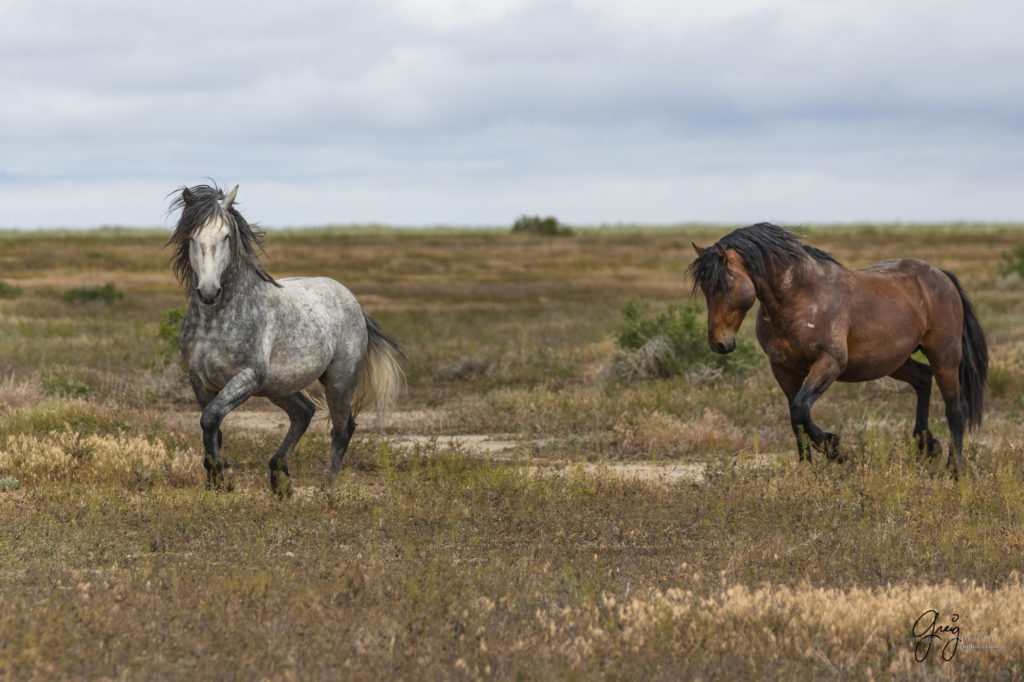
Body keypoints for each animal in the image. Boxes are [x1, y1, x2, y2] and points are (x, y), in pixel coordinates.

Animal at [165, 183, 401, 493]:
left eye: (226, 236)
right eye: (192, 236)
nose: (208, 292)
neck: (215, 321)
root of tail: (353, 301)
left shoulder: (248, 377)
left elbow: (211, 419)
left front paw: (222, 478)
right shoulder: (200, 381)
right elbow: (212, 428)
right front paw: (214, 483)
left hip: (339, 381)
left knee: (342, 428)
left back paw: (326, 489)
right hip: (280, 387)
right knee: (304, 412)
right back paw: (280, 478)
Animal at [688, 223, 983, 473]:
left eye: (725, 284)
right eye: (705, 289)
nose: (719, 343)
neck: (801, 298)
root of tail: (941, 276)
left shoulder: (829, 364)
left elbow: (800, 409)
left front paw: (834, 450)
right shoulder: (783, 369)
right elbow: (795, 416)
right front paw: (806, 466)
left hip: (944, 356)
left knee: (955, 410)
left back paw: (954, 470)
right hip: (894, 362)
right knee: (923, 379)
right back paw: (926, 445)